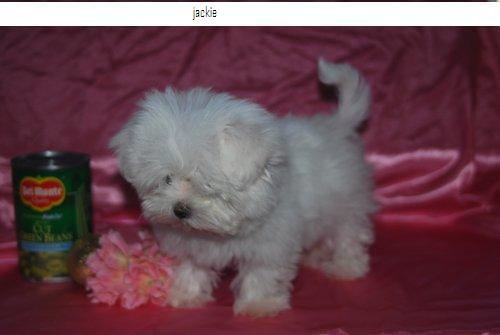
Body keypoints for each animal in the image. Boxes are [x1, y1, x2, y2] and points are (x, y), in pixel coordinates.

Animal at [109, 59, 376, 318]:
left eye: (208, 182)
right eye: (167, 178)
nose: (180, 210)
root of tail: (337, 125)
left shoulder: (270, 240)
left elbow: (262, 271)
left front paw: (259, 304)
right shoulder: (189, 243)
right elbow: (191, 266)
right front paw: (187, 296)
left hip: (348, 201)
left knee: (348, 233)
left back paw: (346, 267)